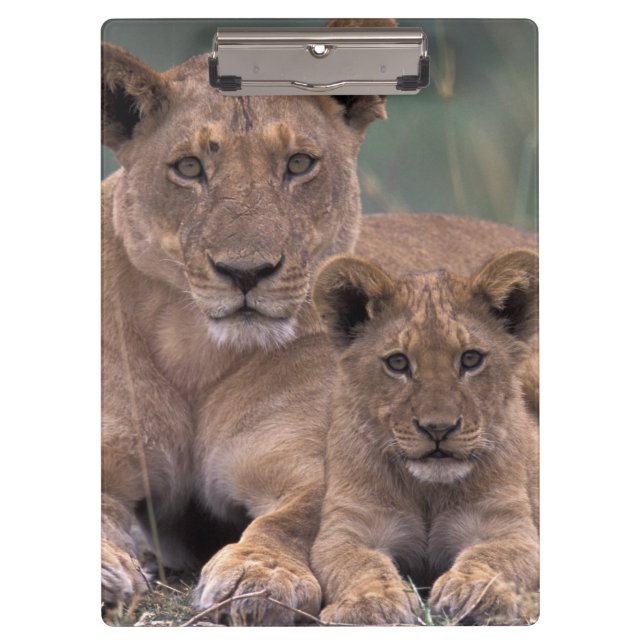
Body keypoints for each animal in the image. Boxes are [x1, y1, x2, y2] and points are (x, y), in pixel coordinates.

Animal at [309, 250, 539, 625]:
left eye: (471, 359)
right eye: (398, 363)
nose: (438, 429)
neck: (427, 491)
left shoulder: (508, 526)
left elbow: (492, 557)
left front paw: (473, 592)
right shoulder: (348, 527)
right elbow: (359, 565)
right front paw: (370, 604)